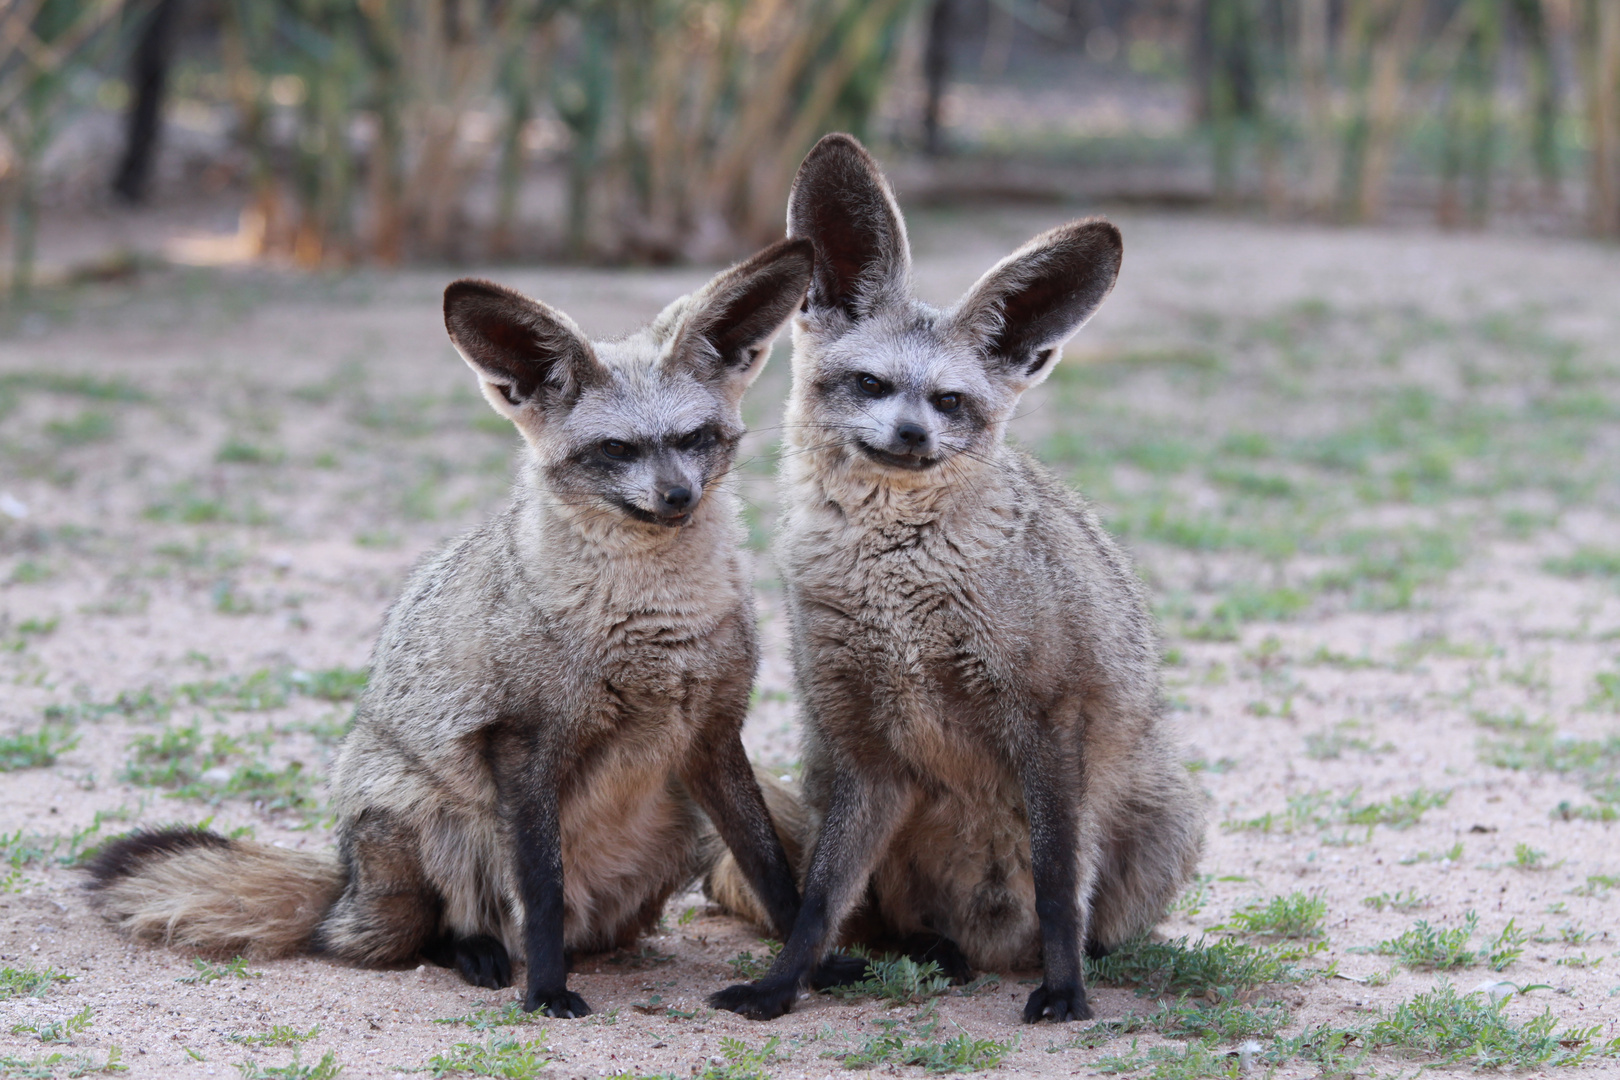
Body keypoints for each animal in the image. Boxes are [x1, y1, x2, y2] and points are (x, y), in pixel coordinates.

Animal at [87, 238, 816, 1023]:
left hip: (678, 825)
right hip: (430, 822)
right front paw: (547, 992)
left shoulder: (713, 733)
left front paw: (817, 965)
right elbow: (543, 890)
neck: (655, 623)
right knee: (400, 938)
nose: (678, 497)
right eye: (616, 451)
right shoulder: (522, 742)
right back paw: (479, 955)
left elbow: (773, 867)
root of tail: (343, 882)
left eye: (695, 439)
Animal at [709, 132, 1205, 1023]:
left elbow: (1058, 881)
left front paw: (1066, 988)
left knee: (1087, 914)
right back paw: (934, 952)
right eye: (871, 384)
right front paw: (780, 987)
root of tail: (991, 942)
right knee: (885, 920)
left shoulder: (1049, 719)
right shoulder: (863, 744)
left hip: (1168, 814)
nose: (911, 435)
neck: (899, 587)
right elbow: (817, 901)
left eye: (949, 401)